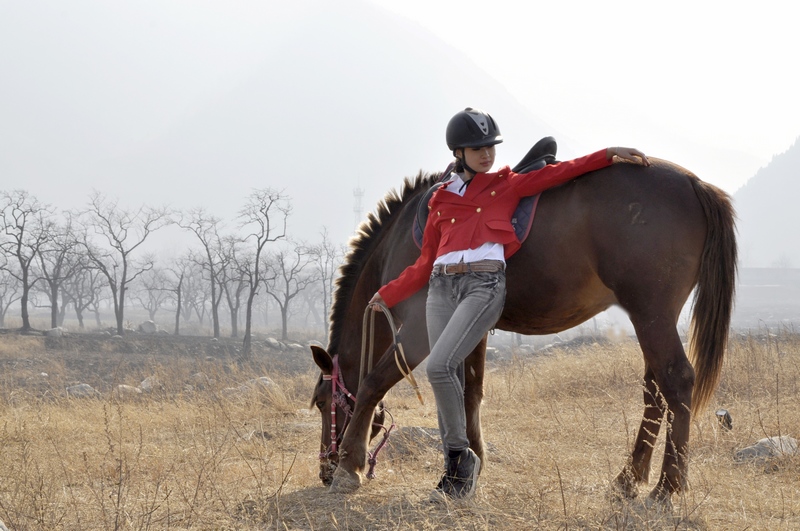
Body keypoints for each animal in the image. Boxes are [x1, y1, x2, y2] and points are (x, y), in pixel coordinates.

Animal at [310, 157, 736, 502]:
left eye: (319, 402)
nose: (324, 468)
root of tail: (695, 185)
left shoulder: (419, 330)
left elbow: (373, 383)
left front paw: (349, 467)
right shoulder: (469, 328)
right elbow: (469, 393)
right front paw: (469, 463)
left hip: (651, 315)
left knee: (677, 381)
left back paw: (668, 487)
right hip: (653, 317)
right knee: (655, 391)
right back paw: (628, 480)